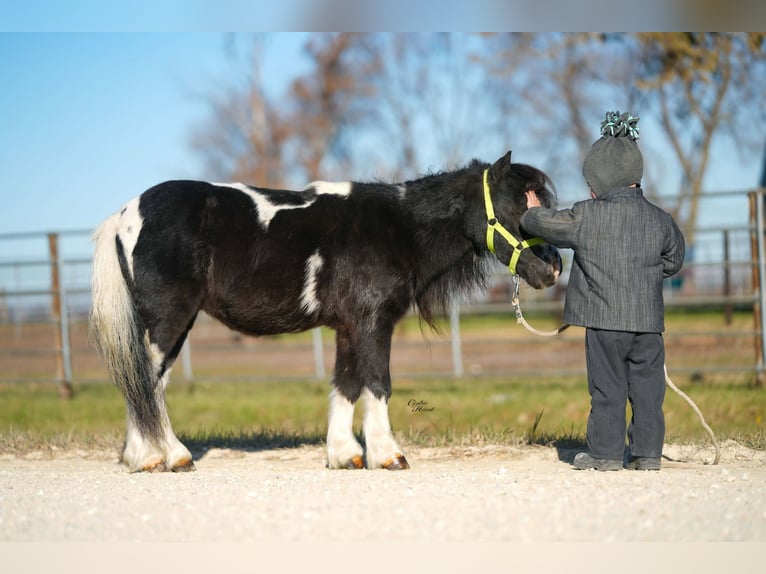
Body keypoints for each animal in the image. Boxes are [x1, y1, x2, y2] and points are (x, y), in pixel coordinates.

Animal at [90, 150, 561, 473]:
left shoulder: (349, 326)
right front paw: (387, 454)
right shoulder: (373, 321)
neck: (396, 227)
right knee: (145, 383)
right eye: (519, 206)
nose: (553, 268)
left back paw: (152, 456)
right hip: (168, 320)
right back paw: (162, 457)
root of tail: (123, 215)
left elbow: (346, 384)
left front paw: (345, 454)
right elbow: (377, 383)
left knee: (146, 383)